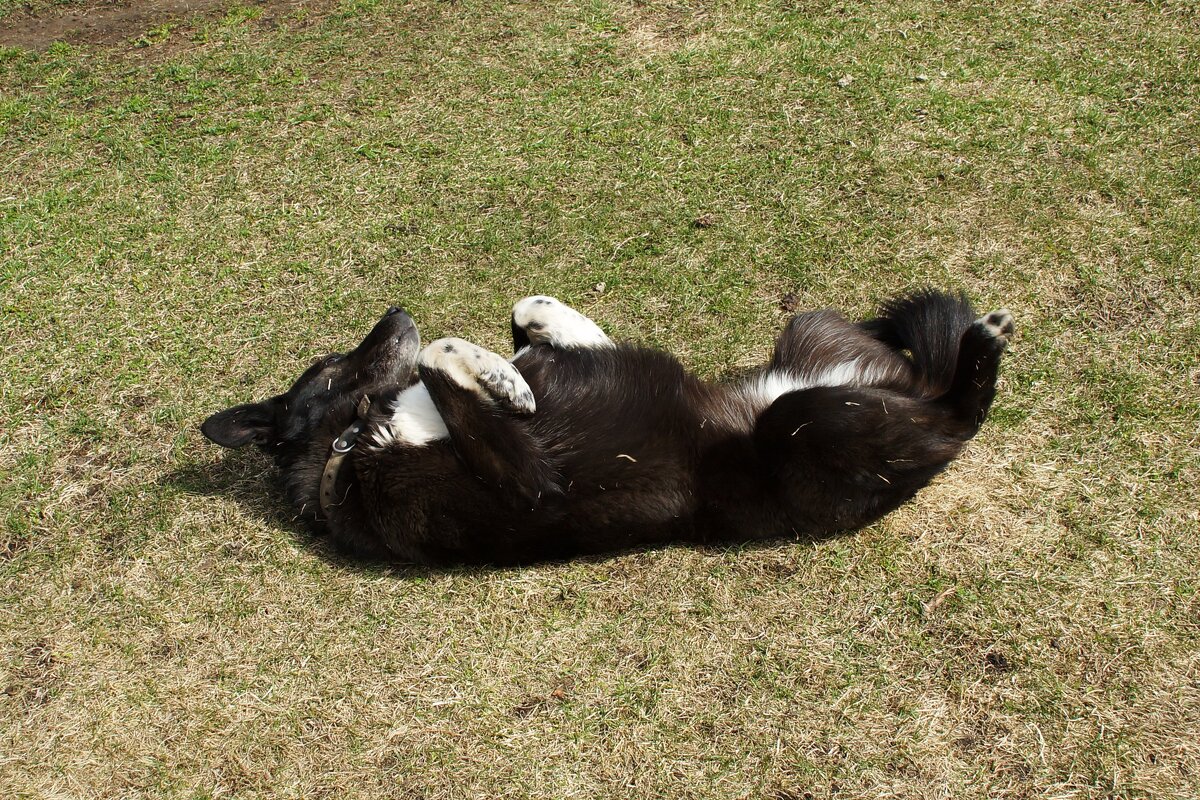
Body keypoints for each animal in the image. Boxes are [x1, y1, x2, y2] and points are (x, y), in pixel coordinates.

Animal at [204, 291, 1012, 566]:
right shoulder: (526, 480)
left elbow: (528, 318)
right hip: (808, 423)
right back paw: (984, 345)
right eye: (329, 368)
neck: (358, 443)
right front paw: (502, 380)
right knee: (963, 411)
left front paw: (509, 364)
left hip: (808, 335)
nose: (395, 310)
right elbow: (443, 360)